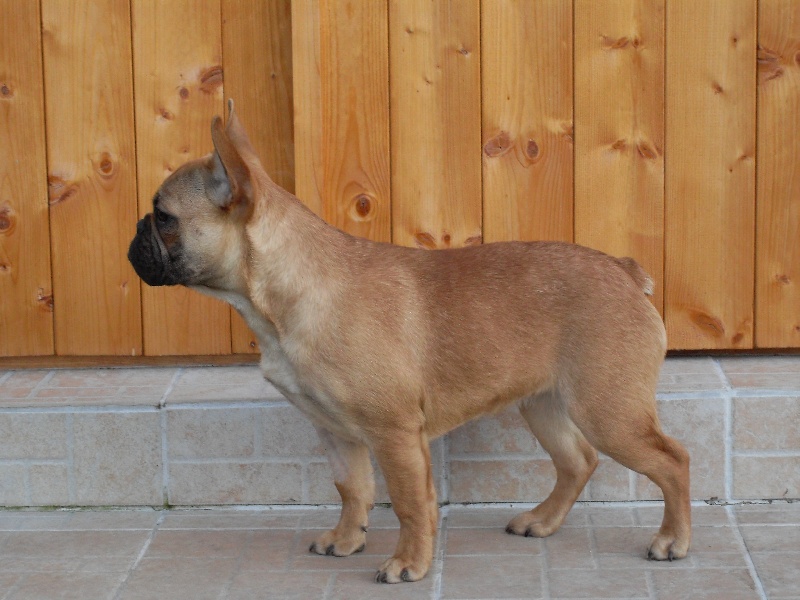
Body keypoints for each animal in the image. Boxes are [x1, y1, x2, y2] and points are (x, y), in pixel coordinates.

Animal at [128, 101, 692, 584]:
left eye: (164, 216)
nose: (133, 237)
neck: (286, 293)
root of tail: (624, 272)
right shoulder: (336, 432)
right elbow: (352, 490)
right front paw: (346, 539)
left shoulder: (394, 433)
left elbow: (409, 503)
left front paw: (409, 564)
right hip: (544, 405)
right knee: (578, 461)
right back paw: (543, 521)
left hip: (608, 412)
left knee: (672, 462)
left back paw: (672, 540)